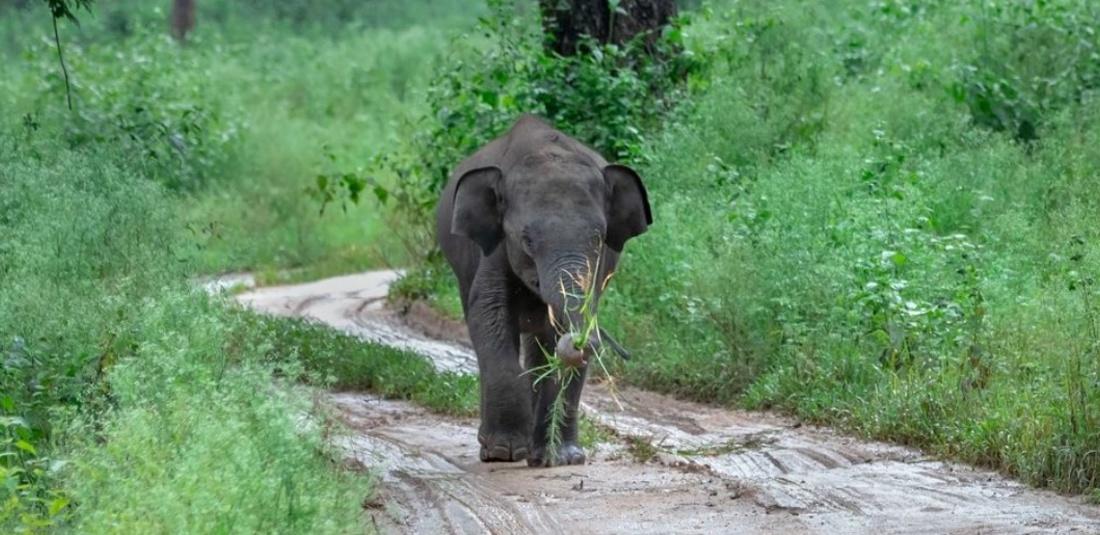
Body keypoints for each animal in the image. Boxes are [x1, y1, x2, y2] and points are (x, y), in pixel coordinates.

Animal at [433, 115, 646, 466]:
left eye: (598, 238)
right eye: (526, 240)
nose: (582, 341)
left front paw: (560, 458)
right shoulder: (494, 245)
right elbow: (488, 312)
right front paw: (505, 452)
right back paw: (494, 449)